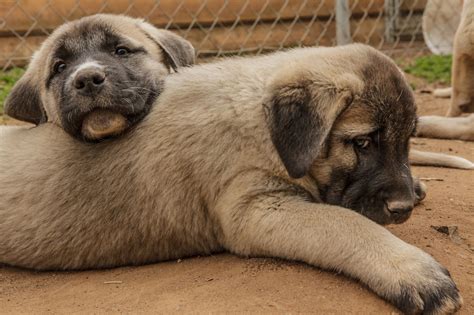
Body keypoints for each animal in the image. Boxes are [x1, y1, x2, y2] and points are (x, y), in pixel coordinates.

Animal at [0, 45, 462, 315]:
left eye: (406, 140)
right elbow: (346, 223)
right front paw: (413, 271)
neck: (263, 123)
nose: (402, 208)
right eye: (362, 143)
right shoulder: (256, 209)